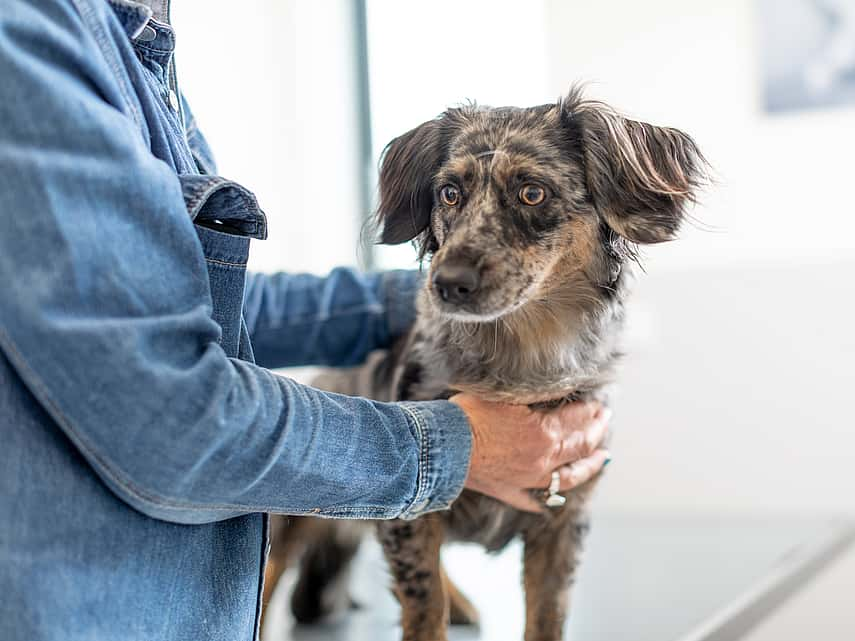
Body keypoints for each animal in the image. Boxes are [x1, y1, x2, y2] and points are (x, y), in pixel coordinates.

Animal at [264, 86, 704, 640]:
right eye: (450, 193)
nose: (447, 282)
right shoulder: (411, 515)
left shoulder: (565, 520)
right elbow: (423, 604)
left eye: (532, 193)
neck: (521, 356)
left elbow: (546, 617)